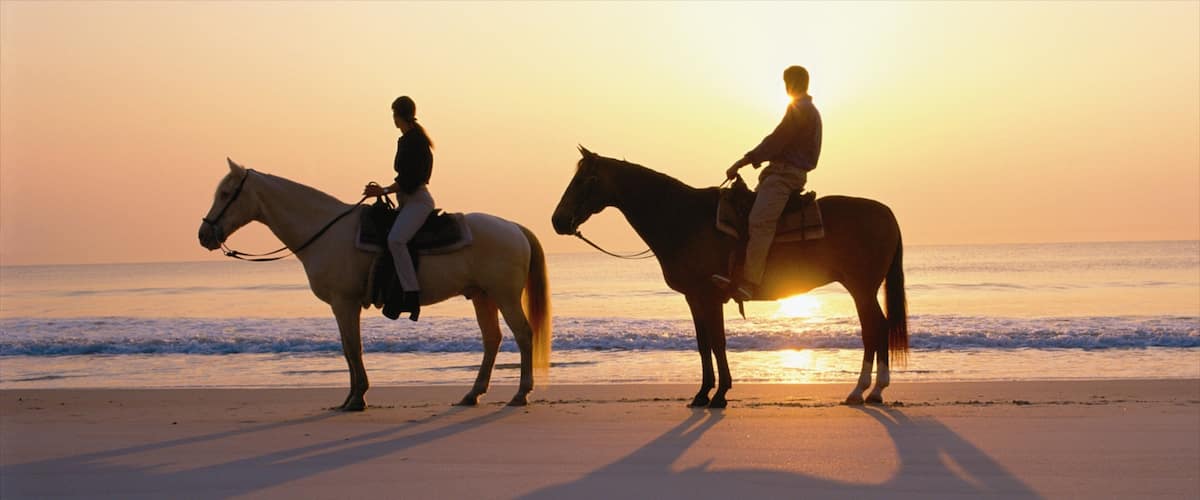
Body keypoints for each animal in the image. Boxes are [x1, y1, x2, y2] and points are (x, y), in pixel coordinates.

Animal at [198, 159, 551, 410]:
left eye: (226, 194)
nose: (204, 235)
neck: (326, 232)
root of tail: (514, 227)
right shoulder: (341, 305)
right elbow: (346, 347)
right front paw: (349, 398)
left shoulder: (345, 302)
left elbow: (353, 347)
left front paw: (357, 399)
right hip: (482, 296)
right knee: (492, 339)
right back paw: (472, 394)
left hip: (504, 296)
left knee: (523, 334)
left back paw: (521, 393)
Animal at [551, 147, 907, 408]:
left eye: (583, 180)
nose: (557, 221)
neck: (682, 219)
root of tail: (887, 212)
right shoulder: (693, 297)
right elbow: (703, 344)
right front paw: (702, 393)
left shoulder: (709, 296)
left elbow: (718, 342)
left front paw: (720, 394)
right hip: (863, 288)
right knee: (878, 328)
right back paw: (872, 391)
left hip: (861, 287)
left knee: (874, 328)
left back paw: (865, 390)